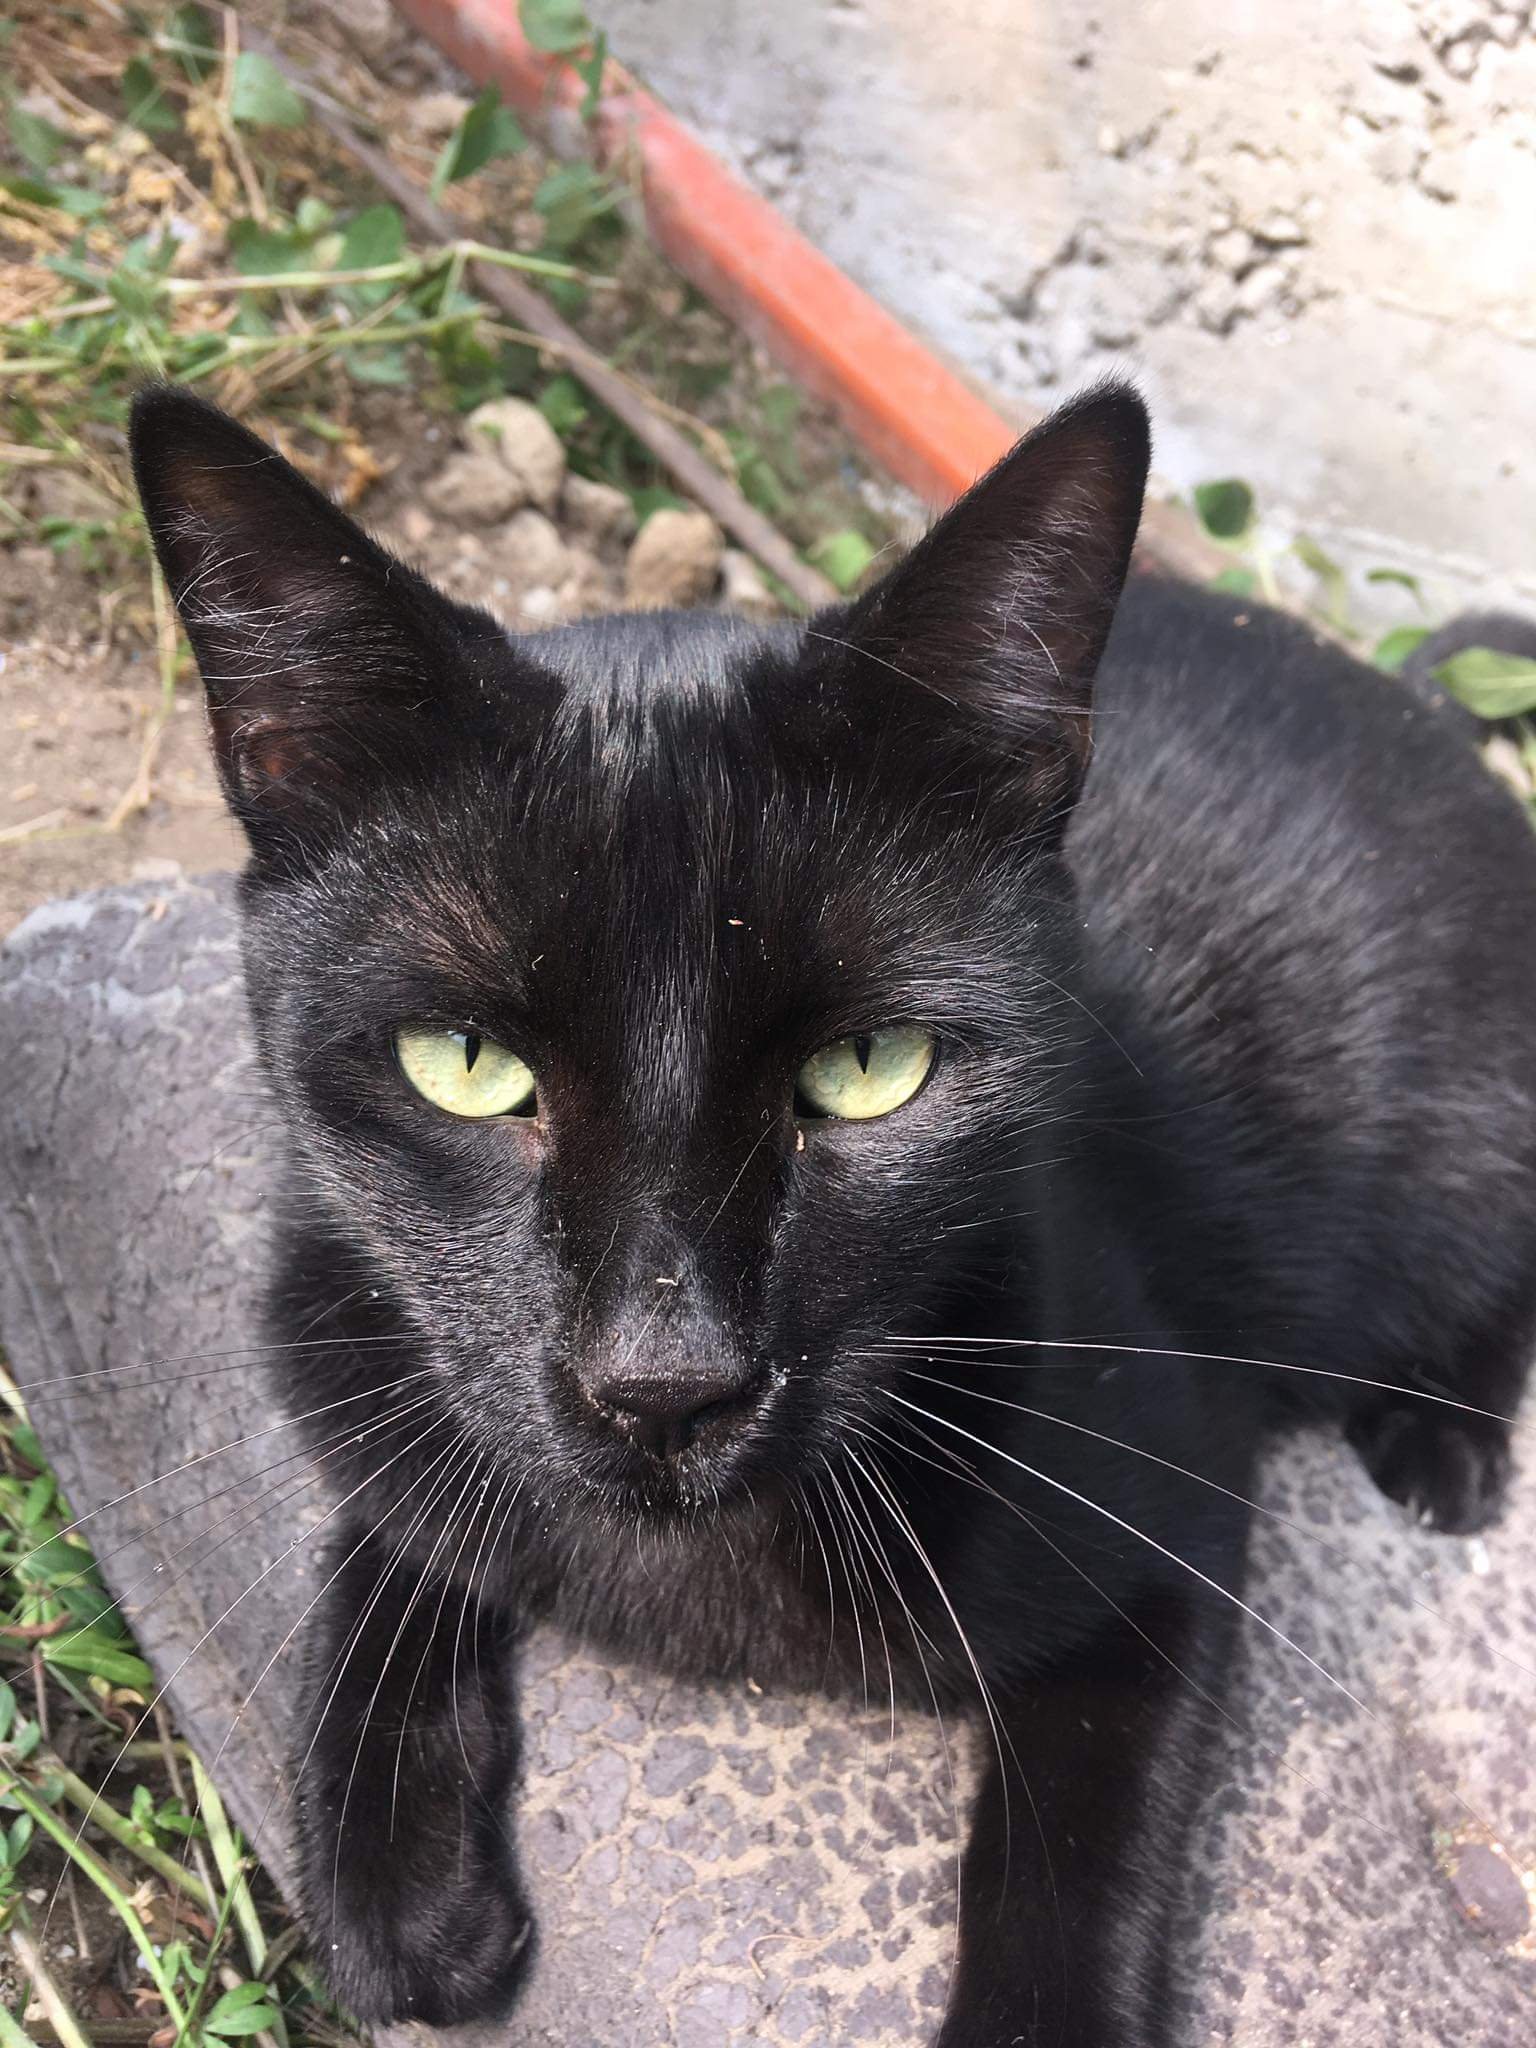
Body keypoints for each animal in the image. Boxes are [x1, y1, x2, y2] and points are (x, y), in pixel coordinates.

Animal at [130, 380, 1536, 2046]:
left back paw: (1442, 1445)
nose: (664, 1383)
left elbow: (1078, 1838)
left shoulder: (1172, 1511)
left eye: (869, 1071)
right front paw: (386, 1868)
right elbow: (397, 1527)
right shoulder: (366, 1348)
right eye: (463, 1063)